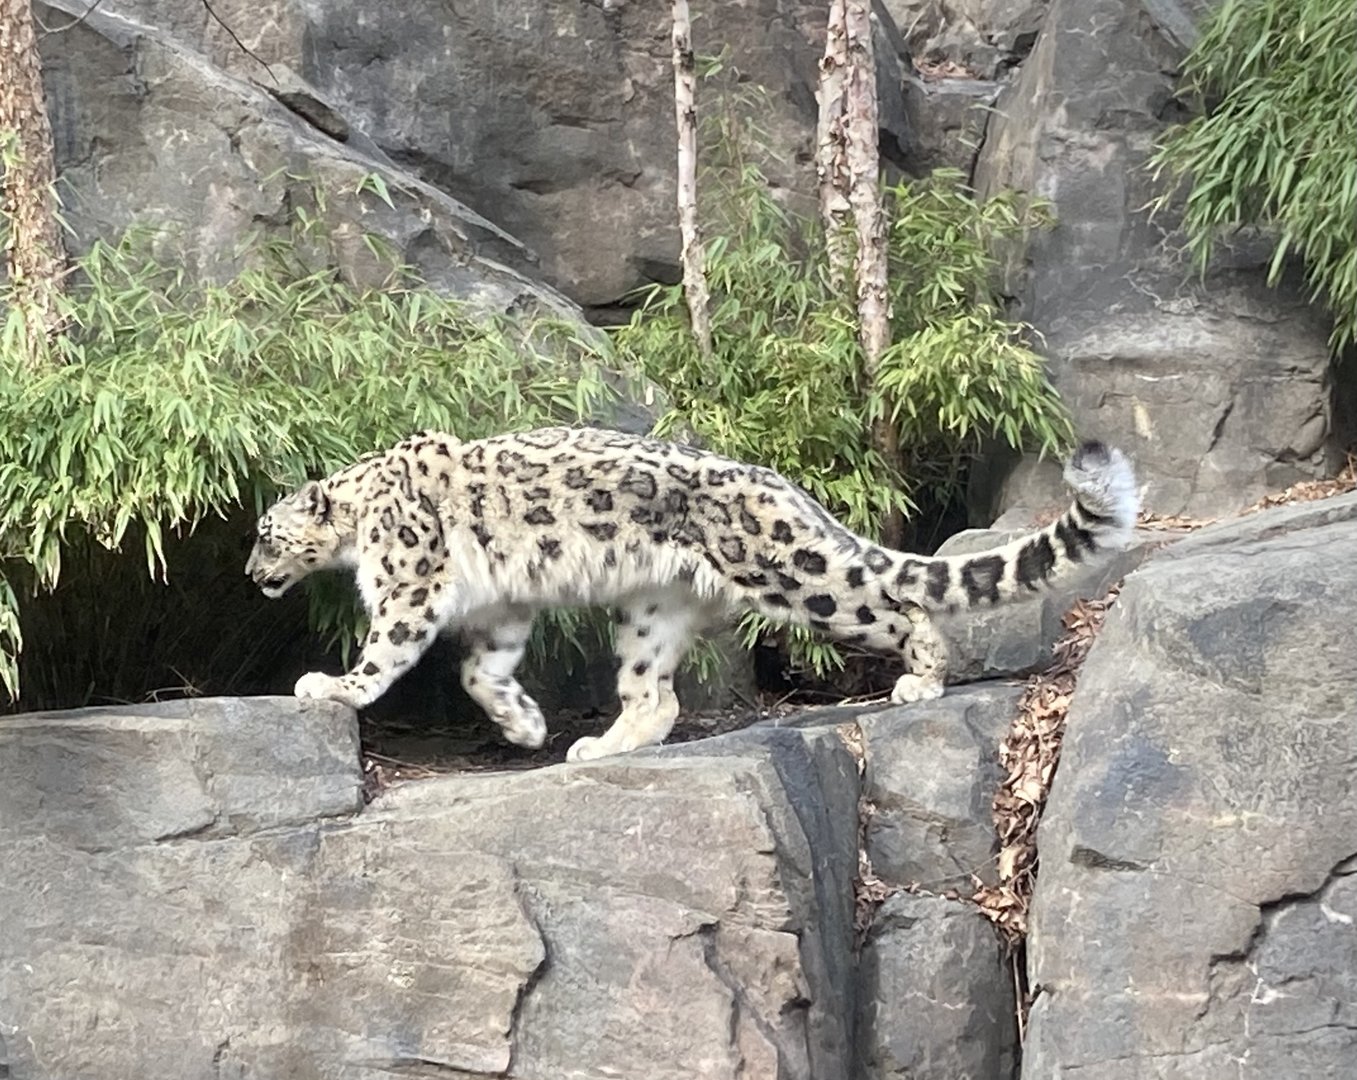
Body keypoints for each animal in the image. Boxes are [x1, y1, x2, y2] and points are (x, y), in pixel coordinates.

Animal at [246, 425, 1139, 762]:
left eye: (264, 532)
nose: (251, 575)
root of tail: (782, 485)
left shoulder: (411, 582)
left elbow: (387, 650)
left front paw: (332, 685)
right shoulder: (500, 607)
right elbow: (480, 668)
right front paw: (524, 723)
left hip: (793, 576)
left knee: (890, 602)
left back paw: (920, 676)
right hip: (651, 611)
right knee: (655, 693)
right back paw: (599, 745)